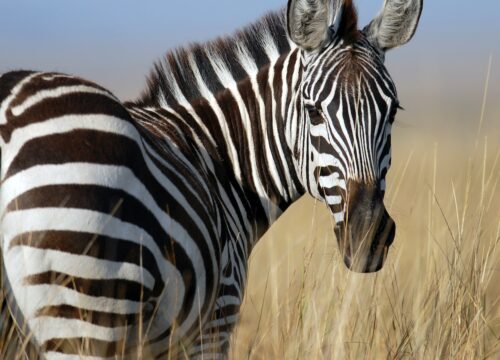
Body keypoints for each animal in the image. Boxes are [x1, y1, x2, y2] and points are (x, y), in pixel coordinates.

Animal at [0, 0, 422, 358]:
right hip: (84, 314)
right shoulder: (215, 319)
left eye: (392, 112)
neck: (222, 162)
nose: (368, 235)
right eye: (313, 111)